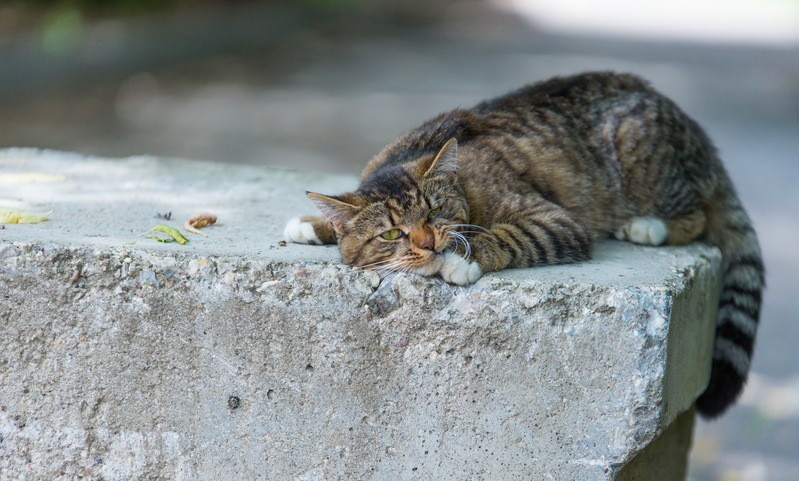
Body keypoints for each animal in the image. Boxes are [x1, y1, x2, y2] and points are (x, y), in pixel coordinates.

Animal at [284, 70, 764, 416]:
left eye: (434, 213)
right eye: (390, 233)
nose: (428, 242)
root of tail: (686, 121)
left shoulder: (557, 221)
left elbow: (511, 235)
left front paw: (462, 259)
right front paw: (314, 224)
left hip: (642, 159)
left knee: (698, 215)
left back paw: (647, 227)